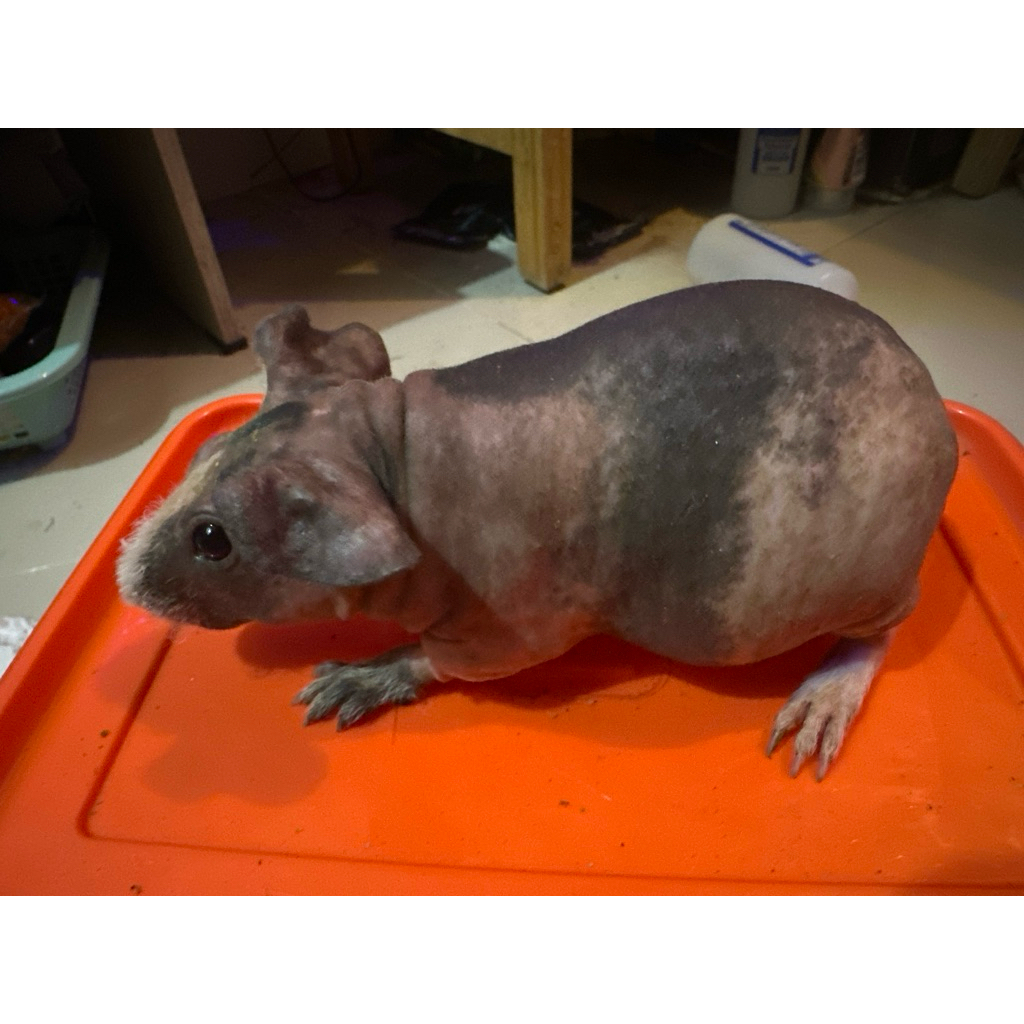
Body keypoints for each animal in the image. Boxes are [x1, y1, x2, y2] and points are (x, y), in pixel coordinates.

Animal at [116, 281, 958, 779]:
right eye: (206, 452)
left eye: (212, 539)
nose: (124, 572)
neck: (394, 457)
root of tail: (941, 418)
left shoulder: (504, 634)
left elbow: (435, 661)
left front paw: (346, 682)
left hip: (858, 593)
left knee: (880, 637)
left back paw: (818, 708)